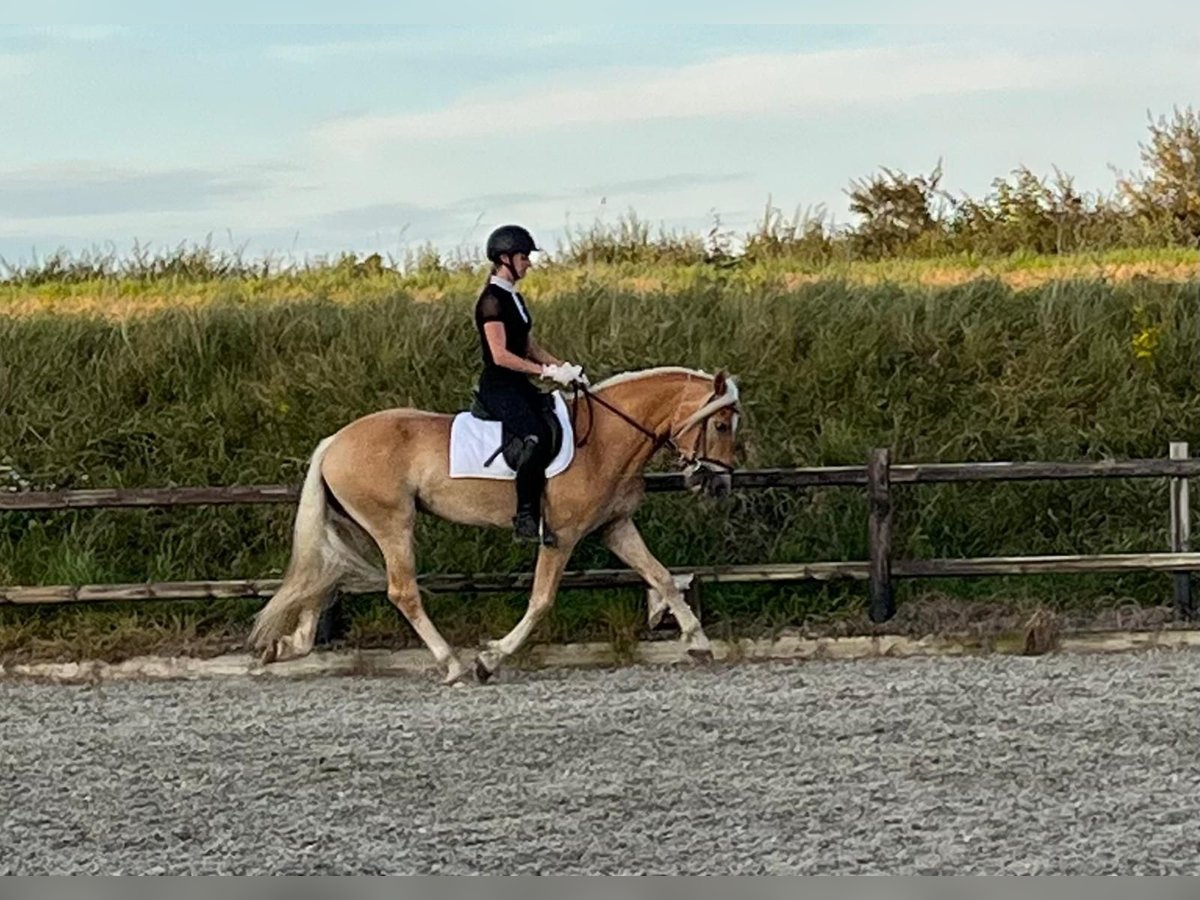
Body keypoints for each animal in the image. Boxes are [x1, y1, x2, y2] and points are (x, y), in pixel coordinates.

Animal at [247, 367, 739, 681]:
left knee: (322, 579)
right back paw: (452, 665)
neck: (602, 439)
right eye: (720, 424)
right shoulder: (560, 536)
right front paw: (491, 659)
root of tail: (335, 441)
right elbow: (541, 600)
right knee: (401, 591)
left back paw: (288, 647)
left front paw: (699, 642)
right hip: (392, 524)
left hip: (353, 527)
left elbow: (662, 576)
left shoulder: (614, 527)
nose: (718, 484)